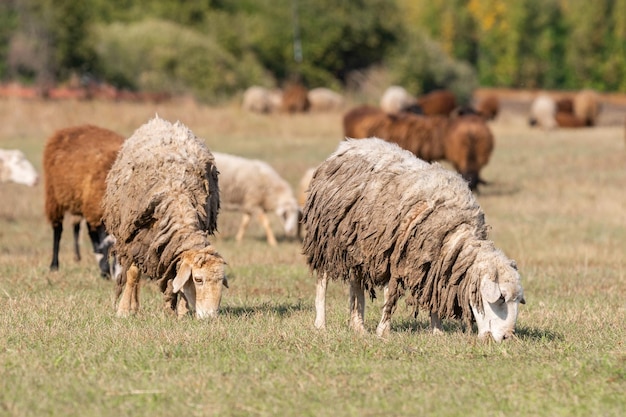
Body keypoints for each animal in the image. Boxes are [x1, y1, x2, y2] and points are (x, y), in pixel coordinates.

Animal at [42, 125, 124, 278]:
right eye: (112, 252)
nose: (118, 277)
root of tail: (71, 128)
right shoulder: (95, 209)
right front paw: (104, 271)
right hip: (54, 197)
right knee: (58, 230)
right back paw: (54, 265)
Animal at [300, 139, 524, 342]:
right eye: (501, 298)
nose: (508, 337)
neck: (454, 236)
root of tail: (346, 146)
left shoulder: (435, 267)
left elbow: (433, 297)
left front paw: (437, 331)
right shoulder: (397, 257)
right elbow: (390, 296)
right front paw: (384, 331)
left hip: (357, 245)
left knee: (356, 283)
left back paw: (358, 326)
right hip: (326, 240)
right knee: (322, 281)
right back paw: (321, 324)